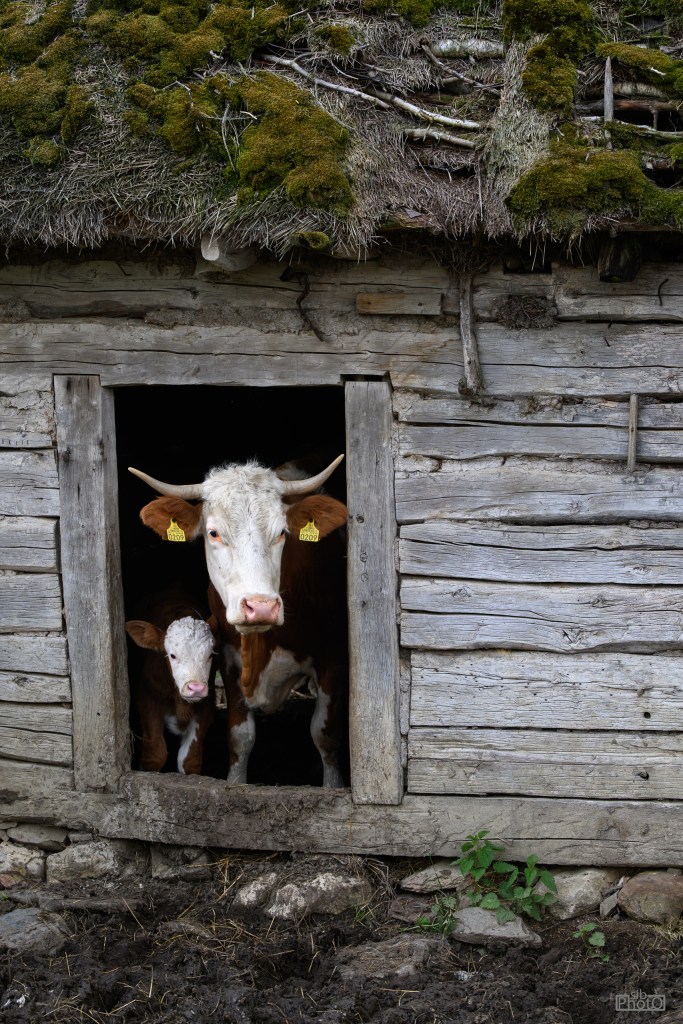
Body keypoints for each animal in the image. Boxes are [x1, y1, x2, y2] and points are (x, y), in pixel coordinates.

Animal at [125, 589, 217, 775]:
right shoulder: (148, 699)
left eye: (210, 654)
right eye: (172, 655)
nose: (196, 688)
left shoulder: (207, 705)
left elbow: (190, 761)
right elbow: (154, 755)